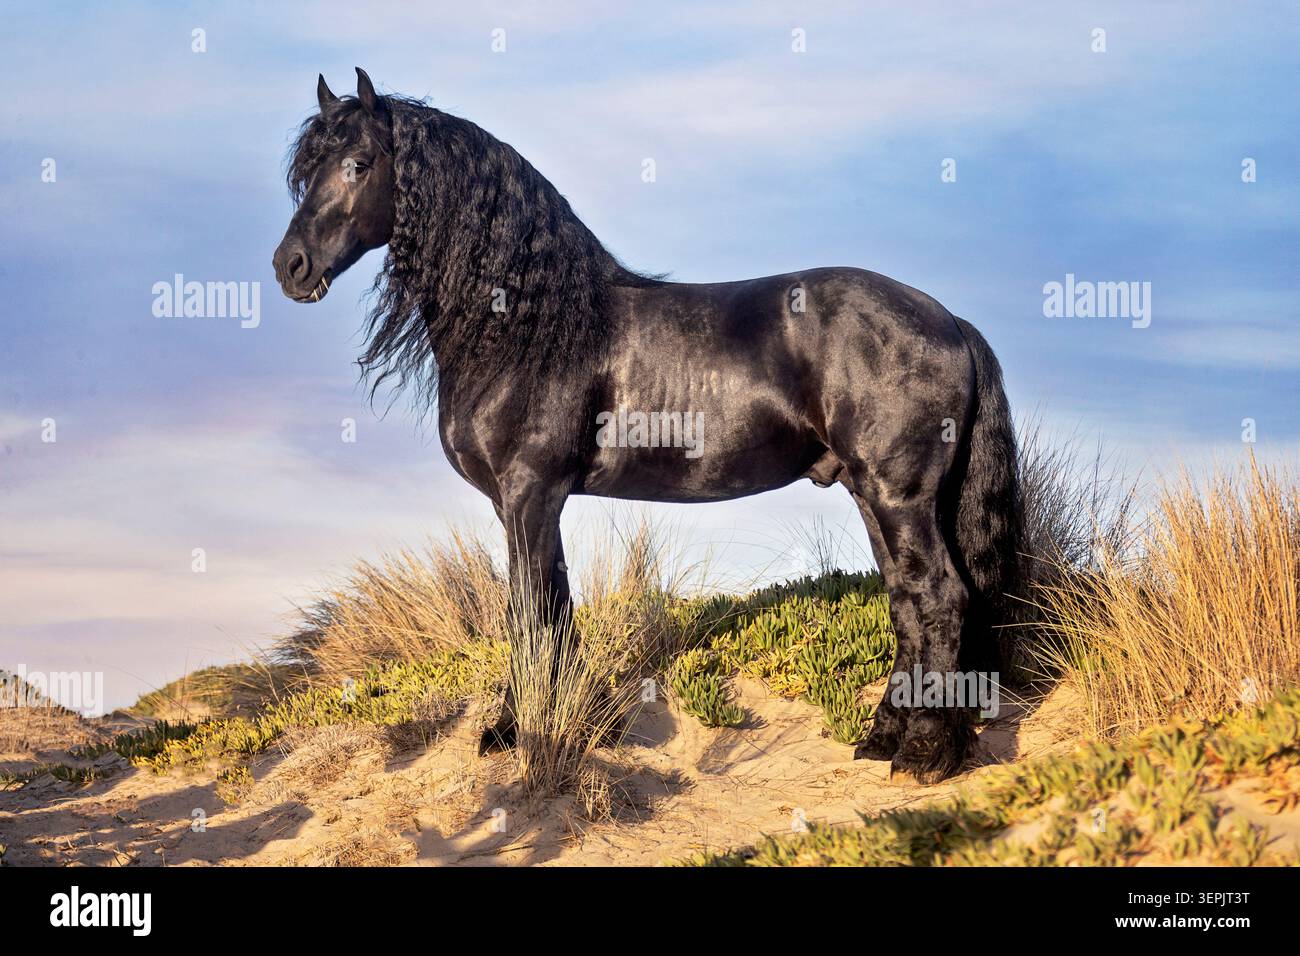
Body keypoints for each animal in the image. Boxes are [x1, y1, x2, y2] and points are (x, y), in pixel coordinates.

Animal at [272, 69, 1021, 784]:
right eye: (307, 170)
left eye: (359, 162)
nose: (290, 267)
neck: (529, 327)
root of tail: (949, 321)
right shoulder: (534, 503)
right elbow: (554, 609)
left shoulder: (527, 493)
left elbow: (528, 614)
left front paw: (521, 731)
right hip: (872, 493)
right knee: (906, 601)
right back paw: (884, 738)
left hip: (899, 496)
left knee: (938, 597)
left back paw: (926, 755)